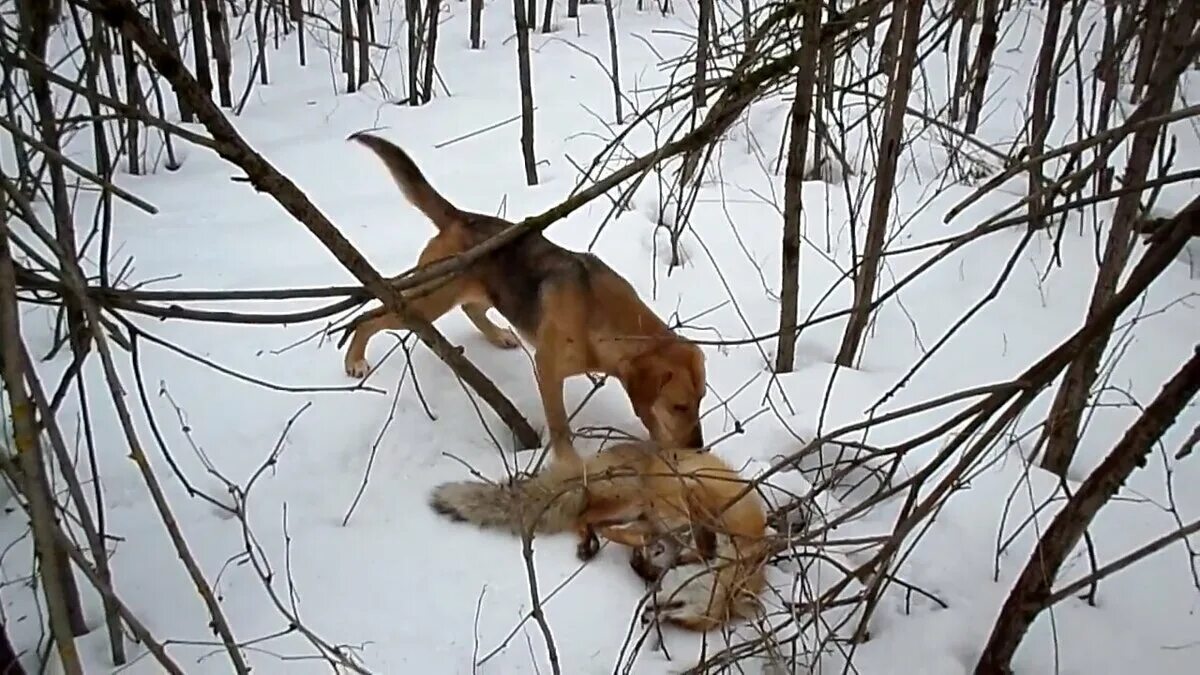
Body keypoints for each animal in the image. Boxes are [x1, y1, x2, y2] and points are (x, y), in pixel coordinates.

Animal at [340, 133, 700, 466]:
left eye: (700, 401)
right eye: (679, 406)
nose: (698, 448)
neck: (596, 310)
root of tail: (460, 217)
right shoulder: (548, 370)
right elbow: (560, 425)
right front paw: (569, 463)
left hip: (486, 292)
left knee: (472, 307)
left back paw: (498, 335)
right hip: (429, 300)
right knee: (371, 318)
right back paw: (355, 358)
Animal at [432, 439, 768, 629]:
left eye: (680, 618)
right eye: (681, 608)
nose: (648, 616)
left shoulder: (661, 529)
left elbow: (652, 550)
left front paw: (645, 562)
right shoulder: (691, 501)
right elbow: (696, 536)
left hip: (634, 510)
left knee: (590, 520)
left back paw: (595, 542)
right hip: (631, 499)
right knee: (585, 516)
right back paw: (591, 540)